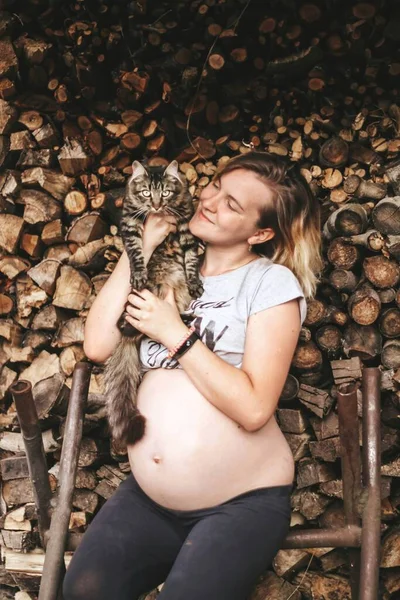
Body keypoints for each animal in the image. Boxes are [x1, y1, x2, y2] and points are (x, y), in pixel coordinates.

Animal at [103, 159, 203, 450]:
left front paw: (195, 280)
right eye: (147, 193)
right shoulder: (130, 224)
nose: (157, 205)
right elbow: (136, 253)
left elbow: (192, 260)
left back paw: (185, 320)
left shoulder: (186, 229)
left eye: (166, 193)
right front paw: (138, 273)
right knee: (128, 326)